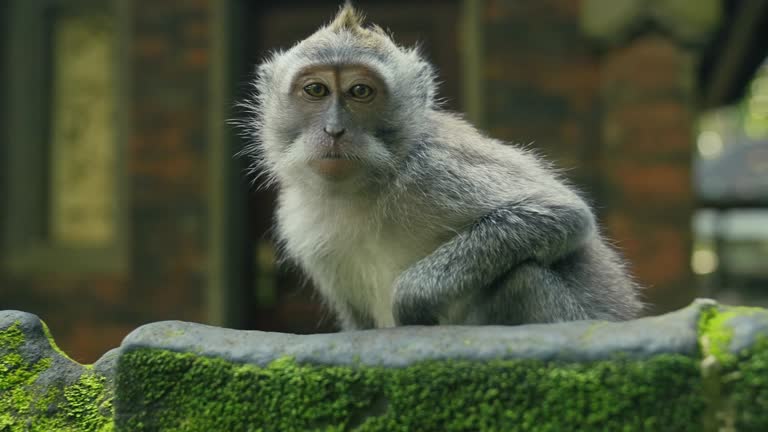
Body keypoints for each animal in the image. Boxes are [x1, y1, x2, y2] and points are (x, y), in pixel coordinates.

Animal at [238, 3, 640, 330]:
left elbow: (561, 214)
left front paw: (411, 299)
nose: (334, 130)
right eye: (317, 90)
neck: (362, 189)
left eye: (360, 92)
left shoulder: (435, 170)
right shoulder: (299, 222)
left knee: (523, 278)